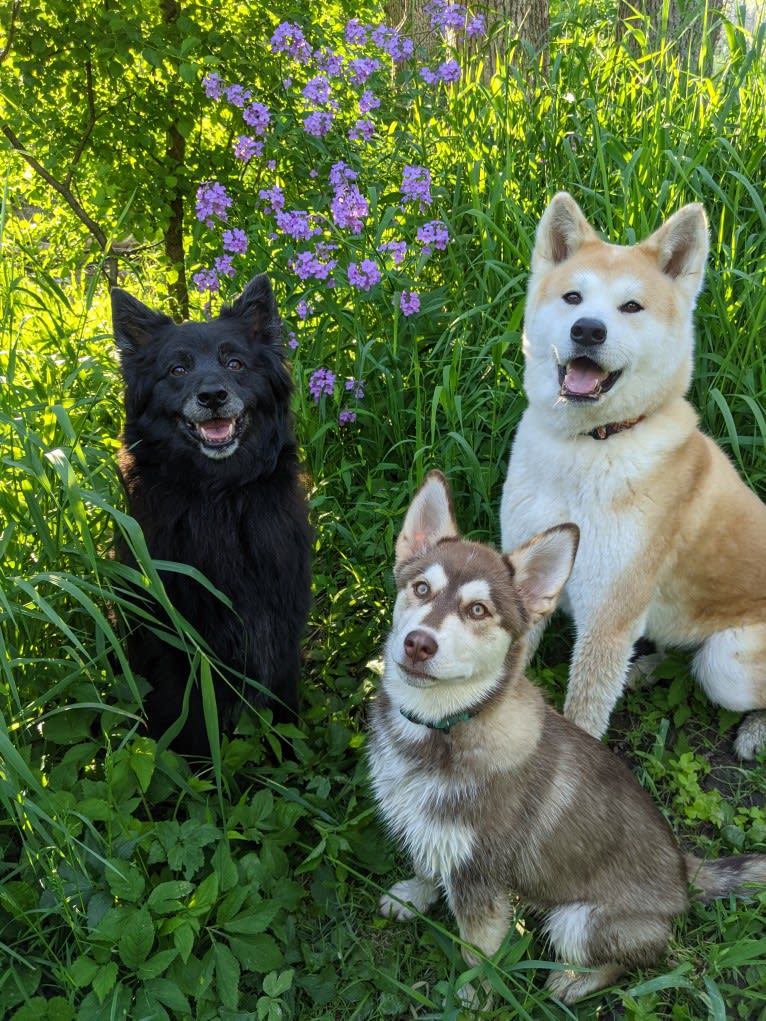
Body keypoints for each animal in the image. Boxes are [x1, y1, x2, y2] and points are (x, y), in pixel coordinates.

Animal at [110, 275, 312, 755]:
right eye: (177, 370)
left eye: (234, 363)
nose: (213, 395)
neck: (219, 497)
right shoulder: (175, 643)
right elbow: (191, 723)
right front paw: (205, 772)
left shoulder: (279, 618)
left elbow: (283, 706)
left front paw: (289, 761)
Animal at [367, 471, 766, 1004]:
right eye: (421, 587)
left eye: (478, 610)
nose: (418, 643)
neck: (443, 728)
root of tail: (685, 873)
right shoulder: (437, 835)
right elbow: (426, 863)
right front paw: (414, 895)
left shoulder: (482, 880)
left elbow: (477, 953)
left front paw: (473, 998)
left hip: (579, 920)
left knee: (631, 962)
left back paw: (571, 984)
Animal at [504, 195, 766, 763]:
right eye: (573, 297)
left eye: (631, 307)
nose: (587, 330)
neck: (589, 445)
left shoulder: (608, 618)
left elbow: (582, 716)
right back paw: (645, 669)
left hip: (727, 665)